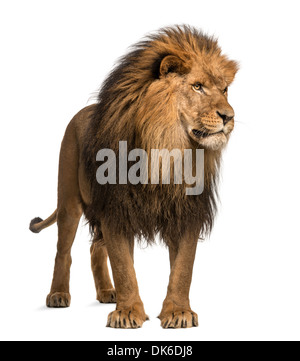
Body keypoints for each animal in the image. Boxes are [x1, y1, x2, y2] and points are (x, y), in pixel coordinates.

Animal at [29, 25, 238, 328]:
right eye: (197, 86)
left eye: (224, 90)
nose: (229, 116)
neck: (167, 148)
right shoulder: (116, 208)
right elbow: (123, 267)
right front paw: (127, 313)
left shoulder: (186, 211)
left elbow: (183, 269)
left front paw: (179, 312)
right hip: (68, 200)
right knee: (63, 252)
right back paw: (58, 295)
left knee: (95, 249)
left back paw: (107, 292)